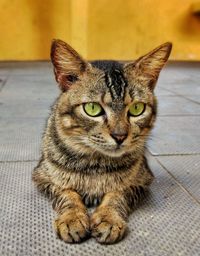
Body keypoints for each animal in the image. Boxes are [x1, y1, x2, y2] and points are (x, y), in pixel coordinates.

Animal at [32, 40, 172, 244]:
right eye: (92, 108)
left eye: (137, 109)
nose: (120, 136)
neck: (95, 164)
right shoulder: (42, 176)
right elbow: (67, 193)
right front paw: (72, 218)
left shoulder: (142, 180)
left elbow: (117, 194)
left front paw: (108, 218)